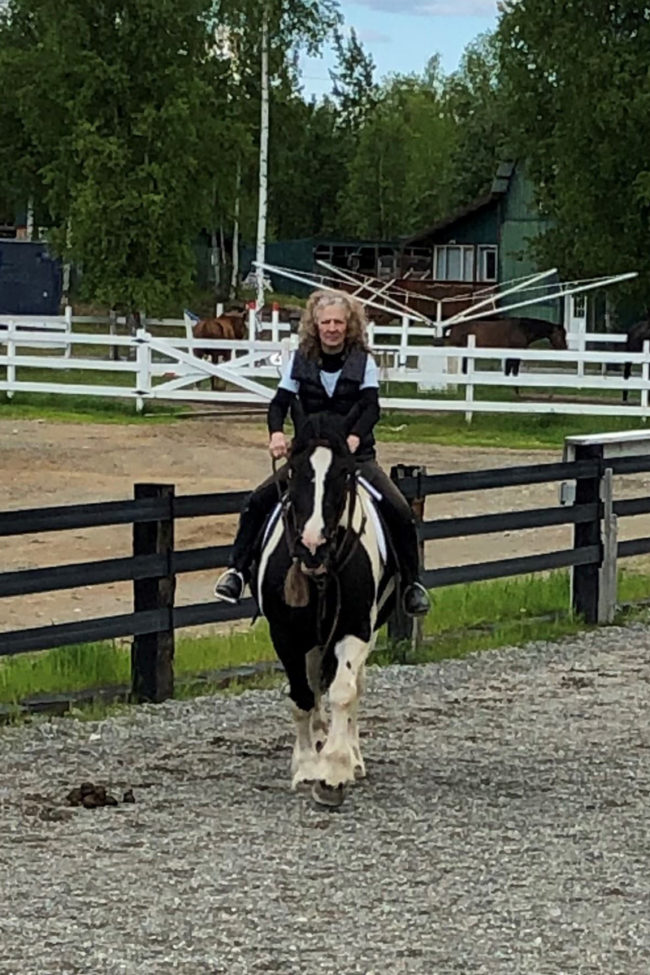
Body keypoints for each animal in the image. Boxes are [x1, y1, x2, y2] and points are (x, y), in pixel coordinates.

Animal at [251, 412, 397, 808]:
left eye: (344, 473)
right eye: (294, 470)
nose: (312, 544)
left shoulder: (356, 629)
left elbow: (343, 692)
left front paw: (332, 772)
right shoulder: (284, 633)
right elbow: (302, 697)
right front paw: (306, 767)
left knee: (351, 687)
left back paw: (352, 759)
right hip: (312, 640)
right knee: (314, 687)